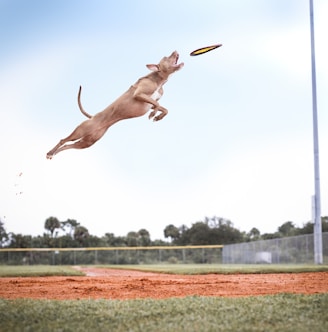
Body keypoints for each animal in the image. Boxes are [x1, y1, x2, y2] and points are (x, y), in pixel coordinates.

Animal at [45, 51, 184, 160]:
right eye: (166, 57)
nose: (175, 50)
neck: (160, 80)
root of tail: (93, 117)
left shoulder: (152, 99)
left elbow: (163, 108)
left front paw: (157, 116)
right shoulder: (139, 94)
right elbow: (157, 104)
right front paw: (153, 114)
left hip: (87, 142)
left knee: (68, 145)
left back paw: (53, 154)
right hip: (81, 131)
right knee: (64, 140)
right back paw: (50, 152)